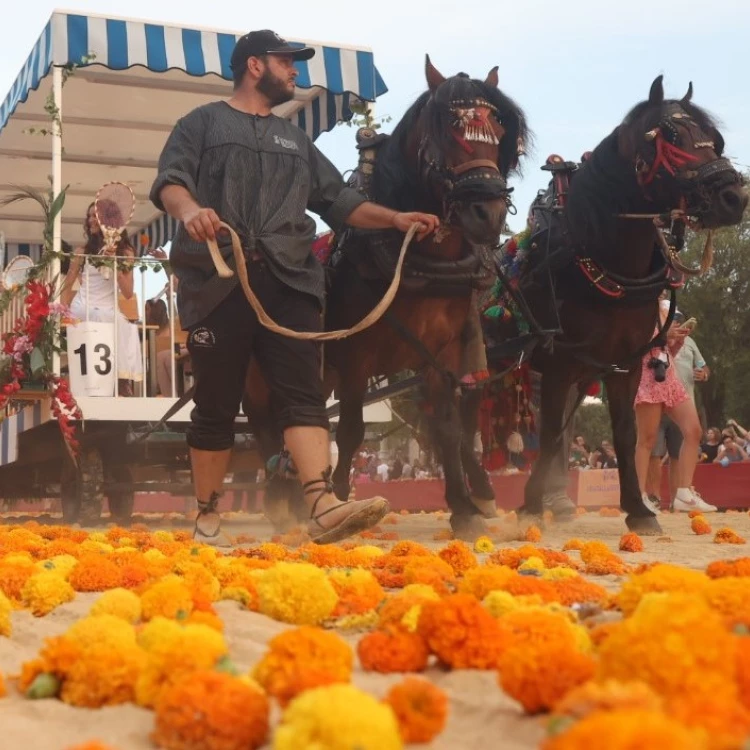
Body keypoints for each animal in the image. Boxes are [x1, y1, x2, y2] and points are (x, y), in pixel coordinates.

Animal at [476, 76, 748, 536]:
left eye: (714, 138)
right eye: (670, 135)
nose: (733, 196)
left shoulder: (624, 363)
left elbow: (623, 433)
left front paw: (638, 509)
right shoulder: (560, 363)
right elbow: (550, 435)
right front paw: (530, 504)